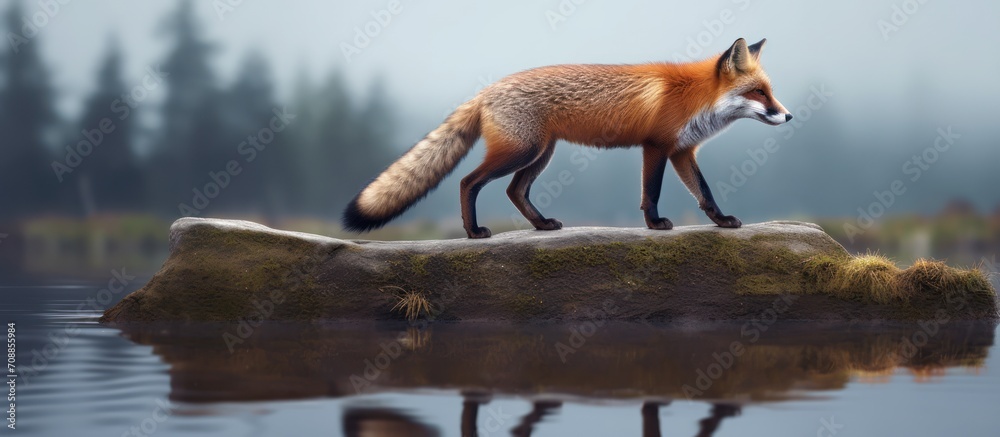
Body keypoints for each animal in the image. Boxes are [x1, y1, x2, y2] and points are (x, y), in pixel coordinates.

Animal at [343, 38, 792, 239]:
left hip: (540, 154)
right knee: (469, 182)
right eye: (758, 92)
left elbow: (705, 193)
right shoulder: (656, 147)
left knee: (514, 191)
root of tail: (487, 90)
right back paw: (473, 232)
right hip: (521, 151)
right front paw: (654, 224)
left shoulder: (682, 151)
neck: (695, 98)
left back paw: (541, 225)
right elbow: (651, 192)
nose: (788, 115)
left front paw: (722, 221)